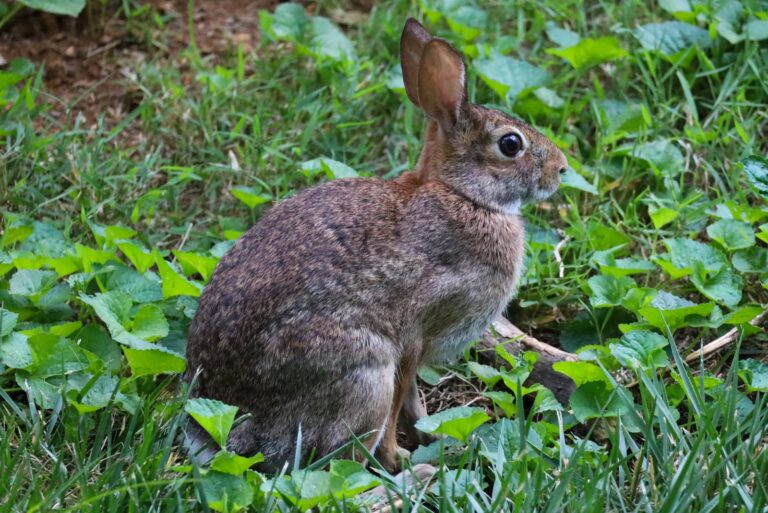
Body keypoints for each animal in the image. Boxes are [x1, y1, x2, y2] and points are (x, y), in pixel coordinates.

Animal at [184, 17, 568, 473]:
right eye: (511, 144)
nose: (562, 168)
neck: (463, 195)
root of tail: (232, 428)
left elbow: (413, 402)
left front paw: (432, 436)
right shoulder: (414, 334)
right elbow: (402, 400)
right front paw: (400, 456)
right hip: (363, 371)